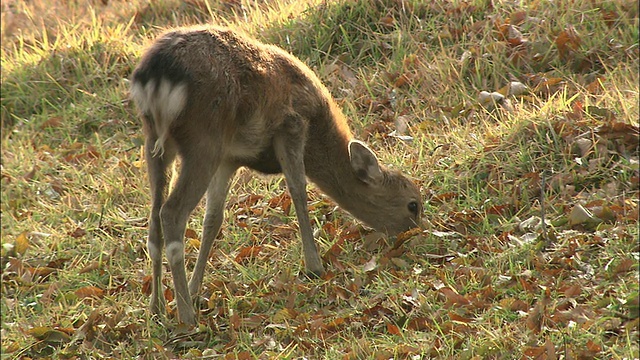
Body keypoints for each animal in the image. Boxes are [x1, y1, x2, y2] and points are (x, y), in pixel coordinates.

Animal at [130, 24, 422, 324]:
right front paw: (314, 266)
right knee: (171, 213)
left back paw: (157, 306)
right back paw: (187, 317)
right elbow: (298, 190)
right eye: (413, 205)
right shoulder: (291, 126)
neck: (318, 135)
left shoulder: (229, 159)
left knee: (154, 219)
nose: (416, 234)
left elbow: (213, 219)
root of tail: (155, 75)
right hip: (203, 137)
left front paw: (195, 289)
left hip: (157, 142)